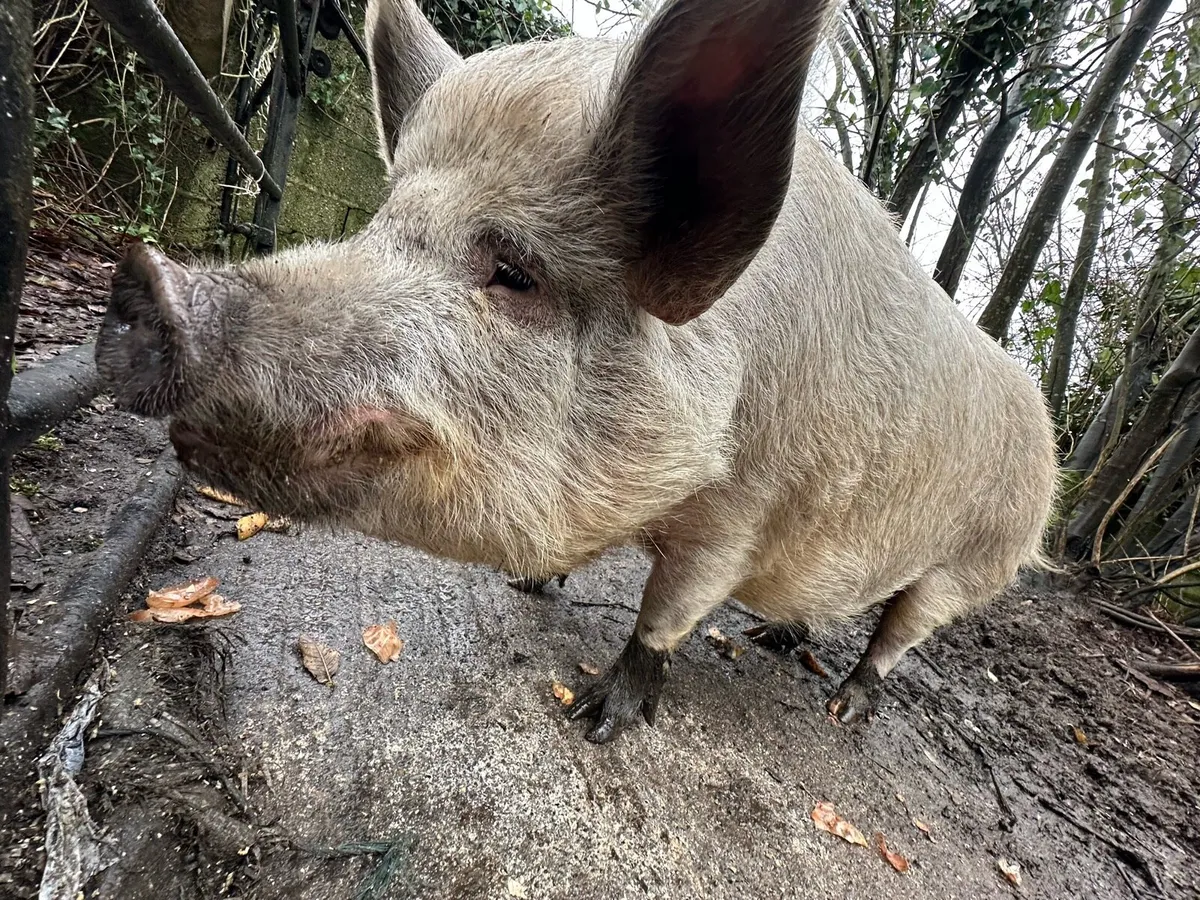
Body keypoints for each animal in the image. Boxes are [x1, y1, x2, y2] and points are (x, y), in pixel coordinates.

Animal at [95, 0, 1057, 744]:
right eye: (381, 223)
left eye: (515, 273)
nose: (151, 281)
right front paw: (527, 584)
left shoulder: (741, 508)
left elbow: (667, 612)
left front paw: (594, 718)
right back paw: (780, 644)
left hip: (975, 563)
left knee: (901, 628)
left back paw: (842, 710)